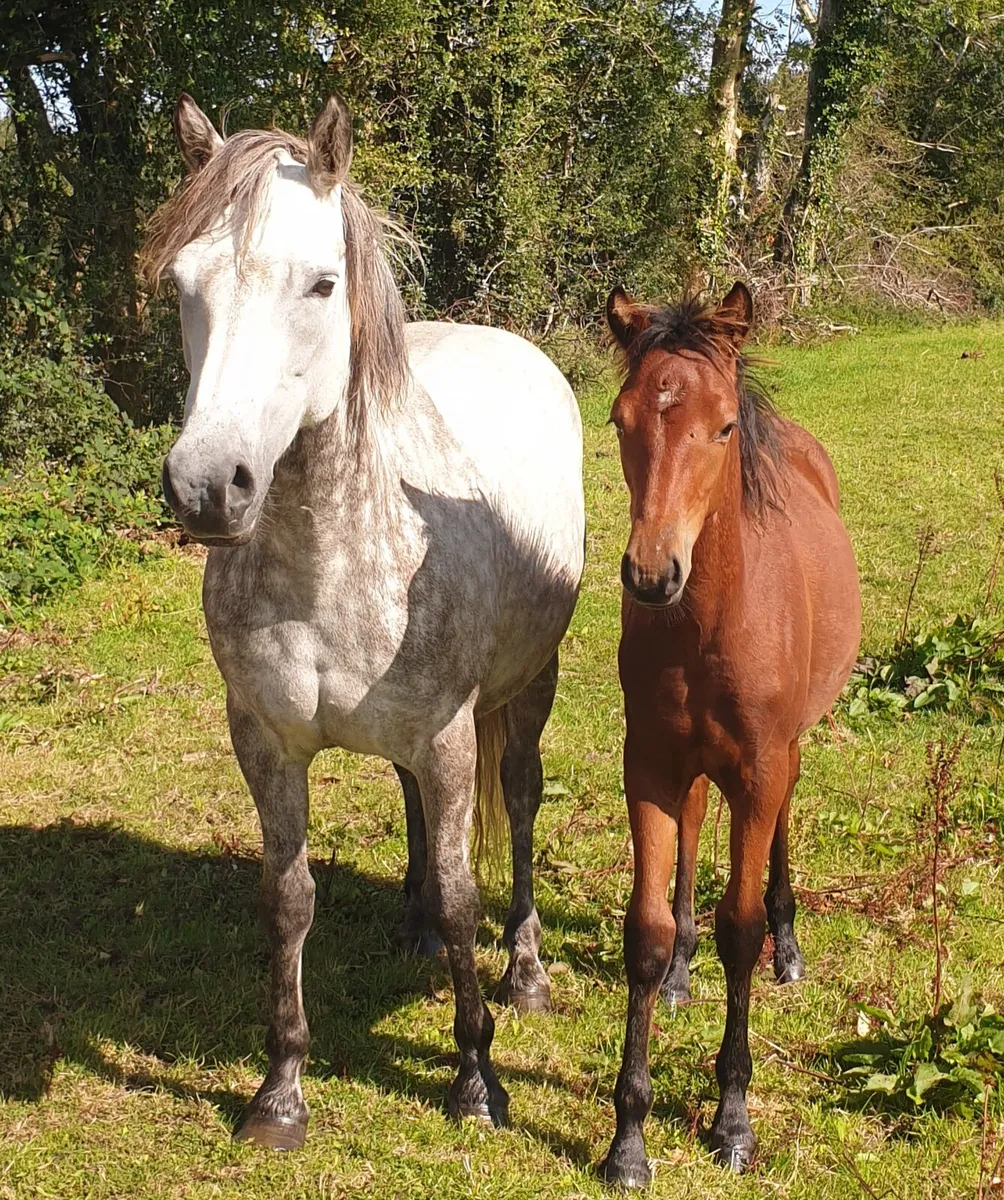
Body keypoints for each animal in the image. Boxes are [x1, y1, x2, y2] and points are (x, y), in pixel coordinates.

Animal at [141, 93, 584, 1149]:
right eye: (181, 283)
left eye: (321, 282)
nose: (208, 486)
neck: (329, 558)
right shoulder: (263, 740)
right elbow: (289, 897)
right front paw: (280, 1090)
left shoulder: (453, 734)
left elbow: (467, 892)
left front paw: (476, 1079)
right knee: (413, 805)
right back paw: (413, 929)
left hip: (528, 687)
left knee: (520, 803)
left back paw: (527, 972)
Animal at [599, 282, 860, 1185]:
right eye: (621, 421)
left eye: (720, 427)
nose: (651, 574)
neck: (708, 624)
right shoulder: (648, 766)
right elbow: (644, 932)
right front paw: (628, 1141)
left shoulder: (758, 767)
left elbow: (737, 931)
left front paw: (733, 1120)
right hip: (691, 766)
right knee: (692, 837)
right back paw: (684, 973)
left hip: (785, 752)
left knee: (782, 823)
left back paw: (790, 945)